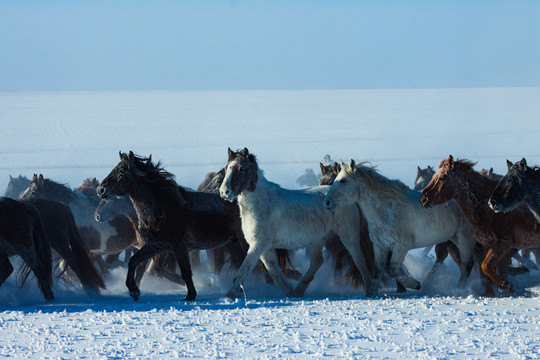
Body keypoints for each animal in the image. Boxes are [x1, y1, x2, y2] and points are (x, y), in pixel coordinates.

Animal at [218, 148, 372, 300]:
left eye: (242, 168)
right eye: (227, 167)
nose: (224, 192)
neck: (261, 202)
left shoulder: (258, 245)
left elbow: (245, 269)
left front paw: (228, 296)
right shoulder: (264, 247)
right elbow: (273, 270)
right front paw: (290, 292)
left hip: (348, 236)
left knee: (360, 260)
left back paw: (369, 290)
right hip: (317, 241)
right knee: (317, 261)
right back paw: (299, 290)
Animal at [322, 161, 474, 298]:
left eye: (343, 180)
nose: (327, 202)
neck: (386, 211)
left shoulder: (401, 246)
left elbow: (392, 270)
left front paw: (415, 284)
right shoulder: (379, 246)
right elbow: (377, 271)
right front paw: (372, 294)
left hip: (464, 238)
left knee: (467, 265)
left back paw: (458, 290)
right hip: (454, 238)